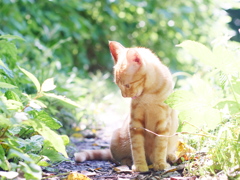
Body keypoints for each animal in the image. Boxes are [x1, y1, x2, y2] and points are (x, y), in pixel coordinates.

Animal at [75, 41, 178, 172]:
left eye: (127, 85)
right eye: (118, 85)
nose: (124, 96)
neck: (148, 94)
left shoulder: (163, 123)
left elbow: (160, 145)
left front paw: (160, 163)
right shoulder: (135, 123)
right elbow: (137, 147)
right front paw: (139, 166)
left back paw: (170, 156)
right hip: (115, 138)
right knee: (117, 159)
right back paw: (128, 161)